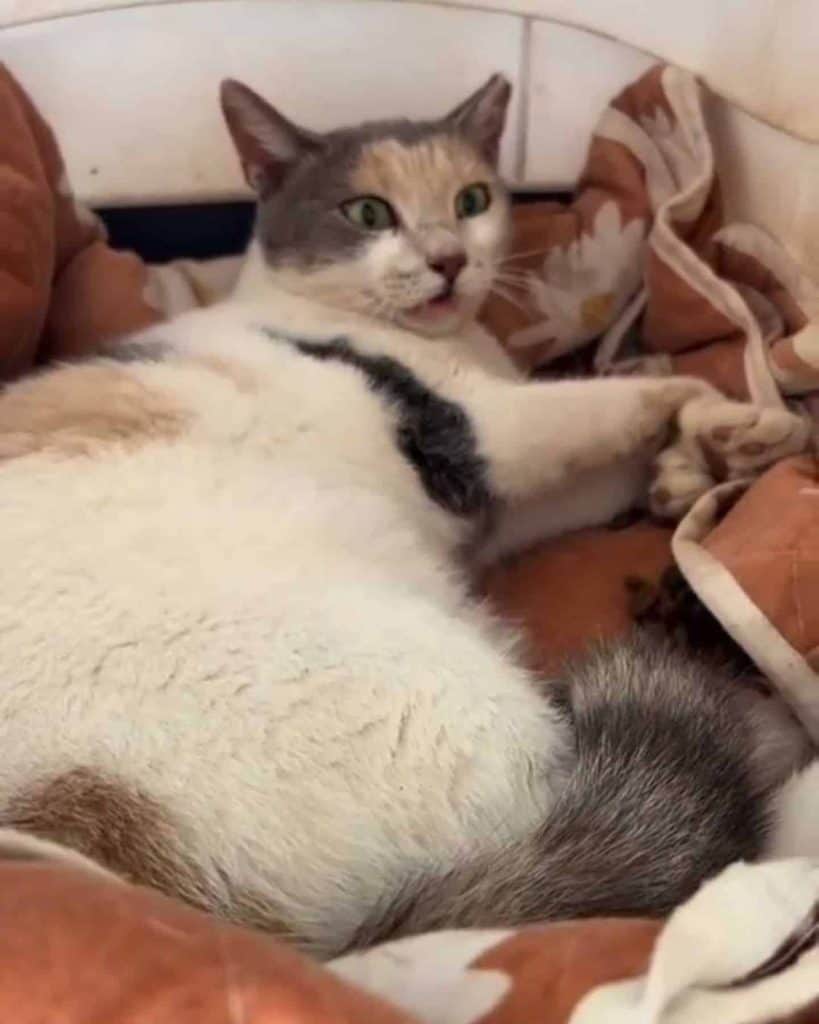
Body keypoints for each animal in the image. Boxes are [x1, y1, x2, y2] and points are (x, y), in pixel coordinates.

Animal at [0, 73, 814, 959]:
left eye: (471, 200)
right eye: (368, 213)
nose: (448, 260)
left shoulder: (496, 500)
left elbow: (617, 460)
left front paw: (683, 470)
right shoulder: (487, 427)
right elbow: (645, 392)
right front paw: (738, 426)